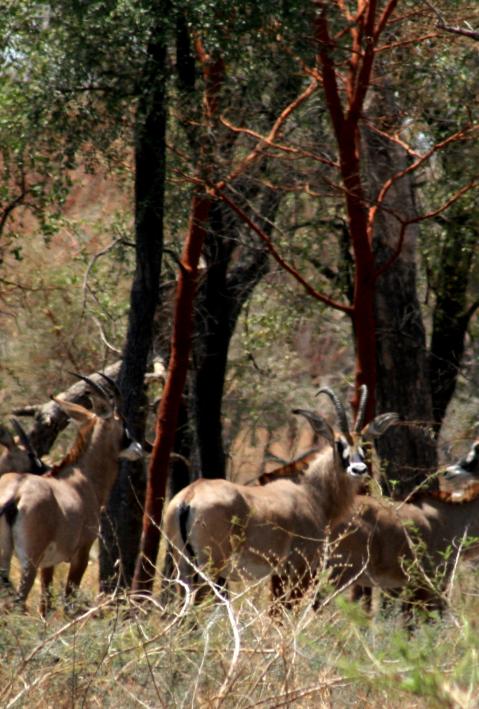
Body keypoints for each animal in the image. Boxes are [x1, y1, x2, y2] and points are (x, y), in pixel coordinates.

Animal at [0, 373, 143, 614]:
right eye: (123, 423)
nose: (141, 448)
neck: (81, 478)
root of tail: (15, 494)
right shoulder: (82, 552)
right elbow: (69, 601)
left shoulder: (48, 564)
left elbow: (45, 605)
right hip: (29, 561)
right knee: (18, 601)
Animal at [163, 386, 398, 606]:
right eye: (338, 444)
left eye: (365, 444)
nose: (358, 469)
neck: (310, 491)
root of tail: (190, 495)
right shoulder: (298, 569)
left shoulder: (280, 573)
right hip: (210, 566)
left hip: (184, 566)